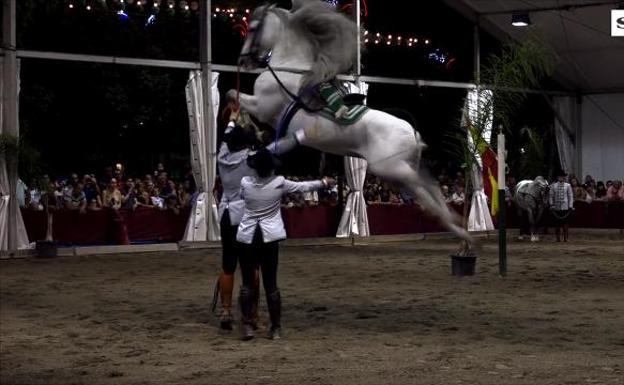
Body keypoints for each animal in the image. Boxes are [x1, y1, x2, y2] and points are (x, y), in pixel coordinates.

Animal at [229, 0, 472, 243]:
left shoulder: (263, 107)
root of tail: (412, 131)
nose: (242, 60)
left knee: (425, 191)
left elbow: (235, 95)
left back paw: (461, 232)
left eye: (252, 28)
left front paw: (249, 128)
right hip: (407, 166)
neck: (288, 68)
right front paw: (253, 133)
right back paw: (459, 227)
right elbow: (235, 97)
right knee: (433, 186)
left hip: (393, 168)